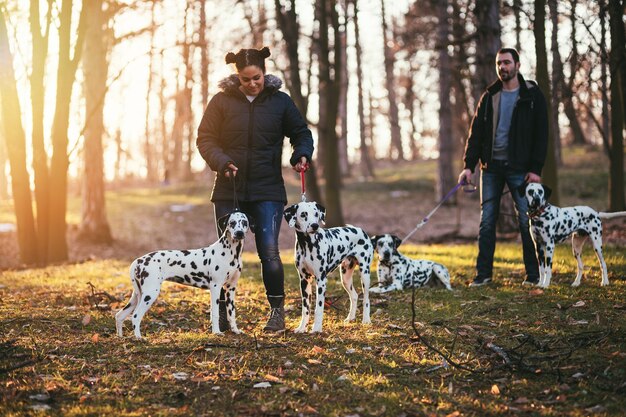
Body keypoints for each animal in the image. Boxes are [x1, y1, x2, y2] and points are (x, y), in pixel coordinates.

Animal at [113, 211, 250, 338]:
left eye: (244, 222)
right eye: (232, 223)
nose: (239, 233)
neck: (231, 253)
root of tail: (138, 261)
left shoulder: (230, 288)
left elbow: (231, 313)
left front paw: (235, 330)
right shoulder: (216, 288)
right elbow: (215, 313)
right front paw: (216, 332)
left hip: (137, 295)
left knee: (119, 315)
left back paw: (121, 337)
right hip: (149, 294)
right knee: (135, 316)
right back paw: (139, 338)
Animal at [284, 200, 372, 334]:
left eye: (316, 213)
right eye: (303, 214)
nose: (315, 225)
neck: (307, 244)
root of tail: (359, 230)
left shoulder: (321, 280)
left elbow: (318, 308)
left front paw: (316, 328)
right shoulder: (304, 280)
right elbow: (305, 309)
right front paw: (302, 327)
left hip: (365, 275)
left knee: (366, 298)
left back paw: (366, 320)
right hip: (345, 278)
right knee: (355, 296)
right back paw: (350, 318)